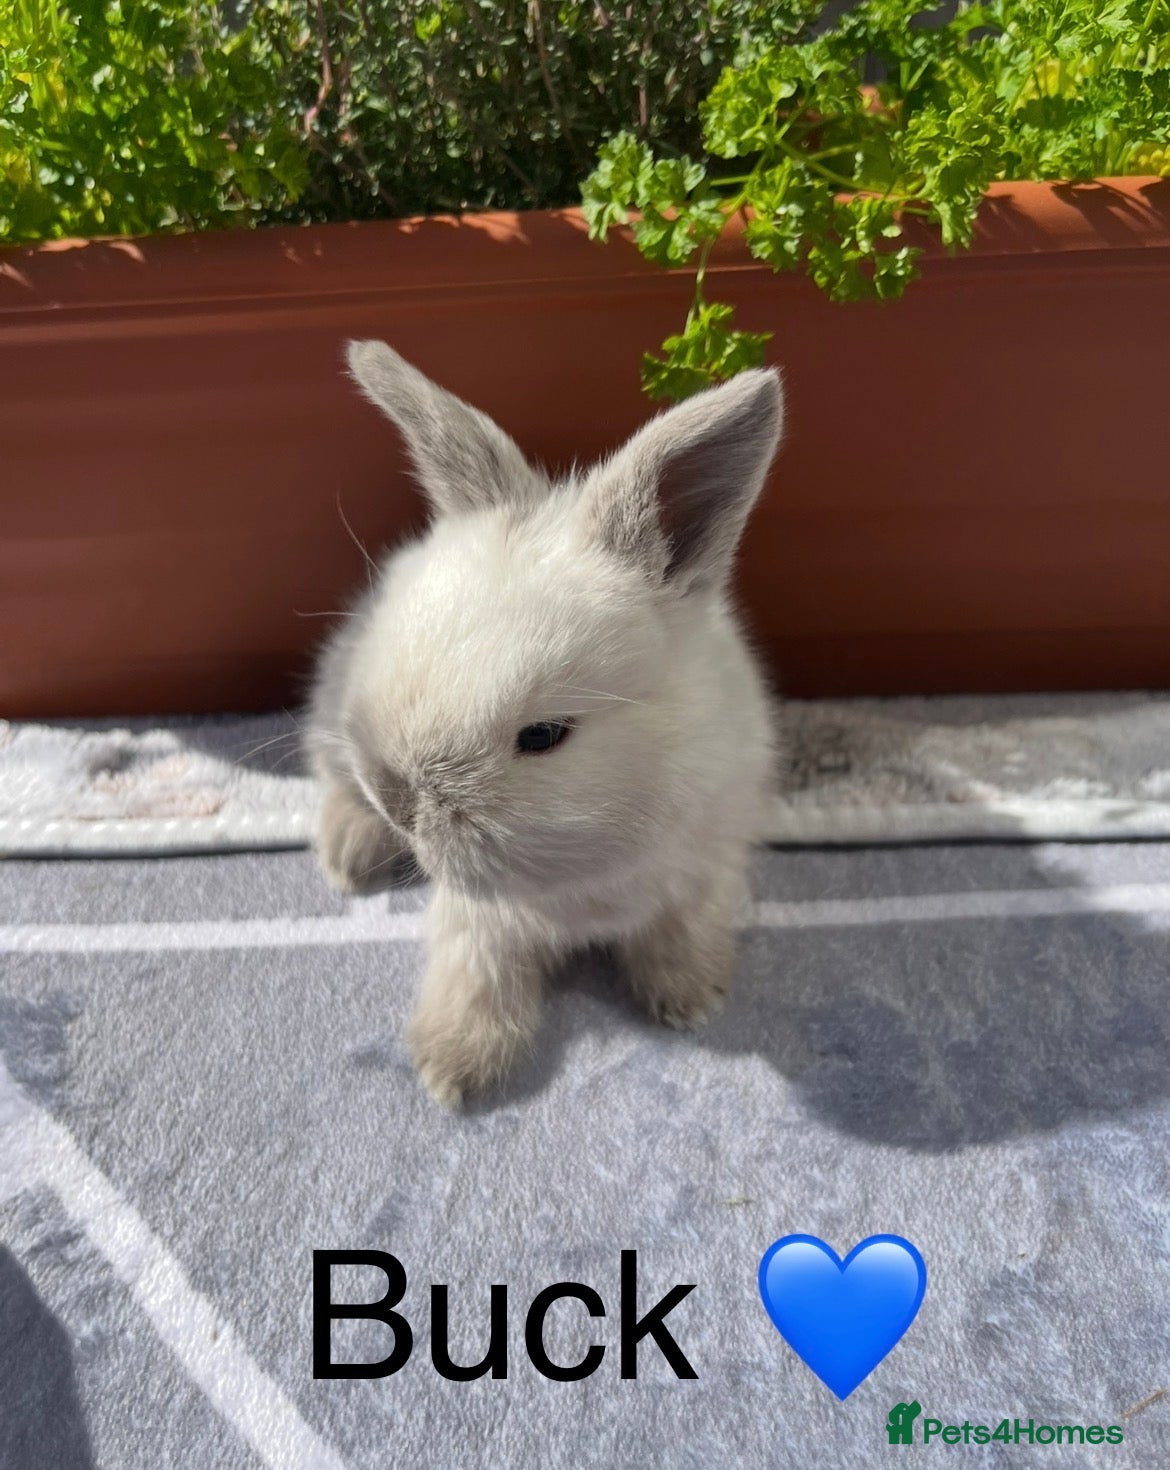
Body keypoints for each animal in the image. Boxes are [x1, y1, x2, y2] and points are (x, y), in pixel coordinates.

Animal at [304, 340, 784, 1107]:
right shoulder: (480, 922)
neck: (587, 871)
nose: (402, 804)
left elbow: (681, 933)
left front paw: (690, 1000)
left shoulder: (704, 868)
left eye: (544, 735)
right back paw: (349, 859)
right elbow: (475, 975)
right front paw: (454, 1070)